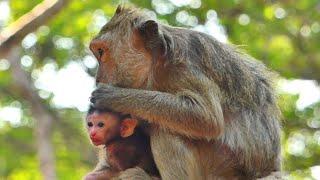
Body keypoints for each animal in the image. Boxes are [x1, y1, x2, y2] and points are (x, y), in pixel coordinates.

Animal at [89, 5, 282, 180]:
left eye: (101, 51)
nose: (98, 79)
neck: (156, 66)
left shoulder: (185, 66)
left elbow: (207, 117)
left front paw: (113, 96)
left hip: (222, 168)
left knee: (166, 128)